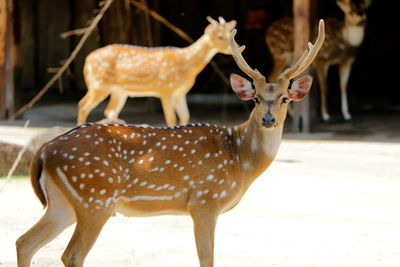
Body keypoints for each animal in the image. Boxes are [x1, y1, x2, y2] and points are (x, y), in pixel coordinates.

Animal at [76, 16, 236, 127]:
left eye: (230, 34)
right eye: (220, 36)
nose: (233, 49)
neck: (187, 65)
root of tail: (87, 60)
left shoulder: (180, 92)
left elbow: (185, 116)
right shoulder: (165, 89)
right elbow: (171, 119)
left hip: (119, 91)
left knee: (110, 111)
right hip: (99, 84)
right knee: (83, 104)